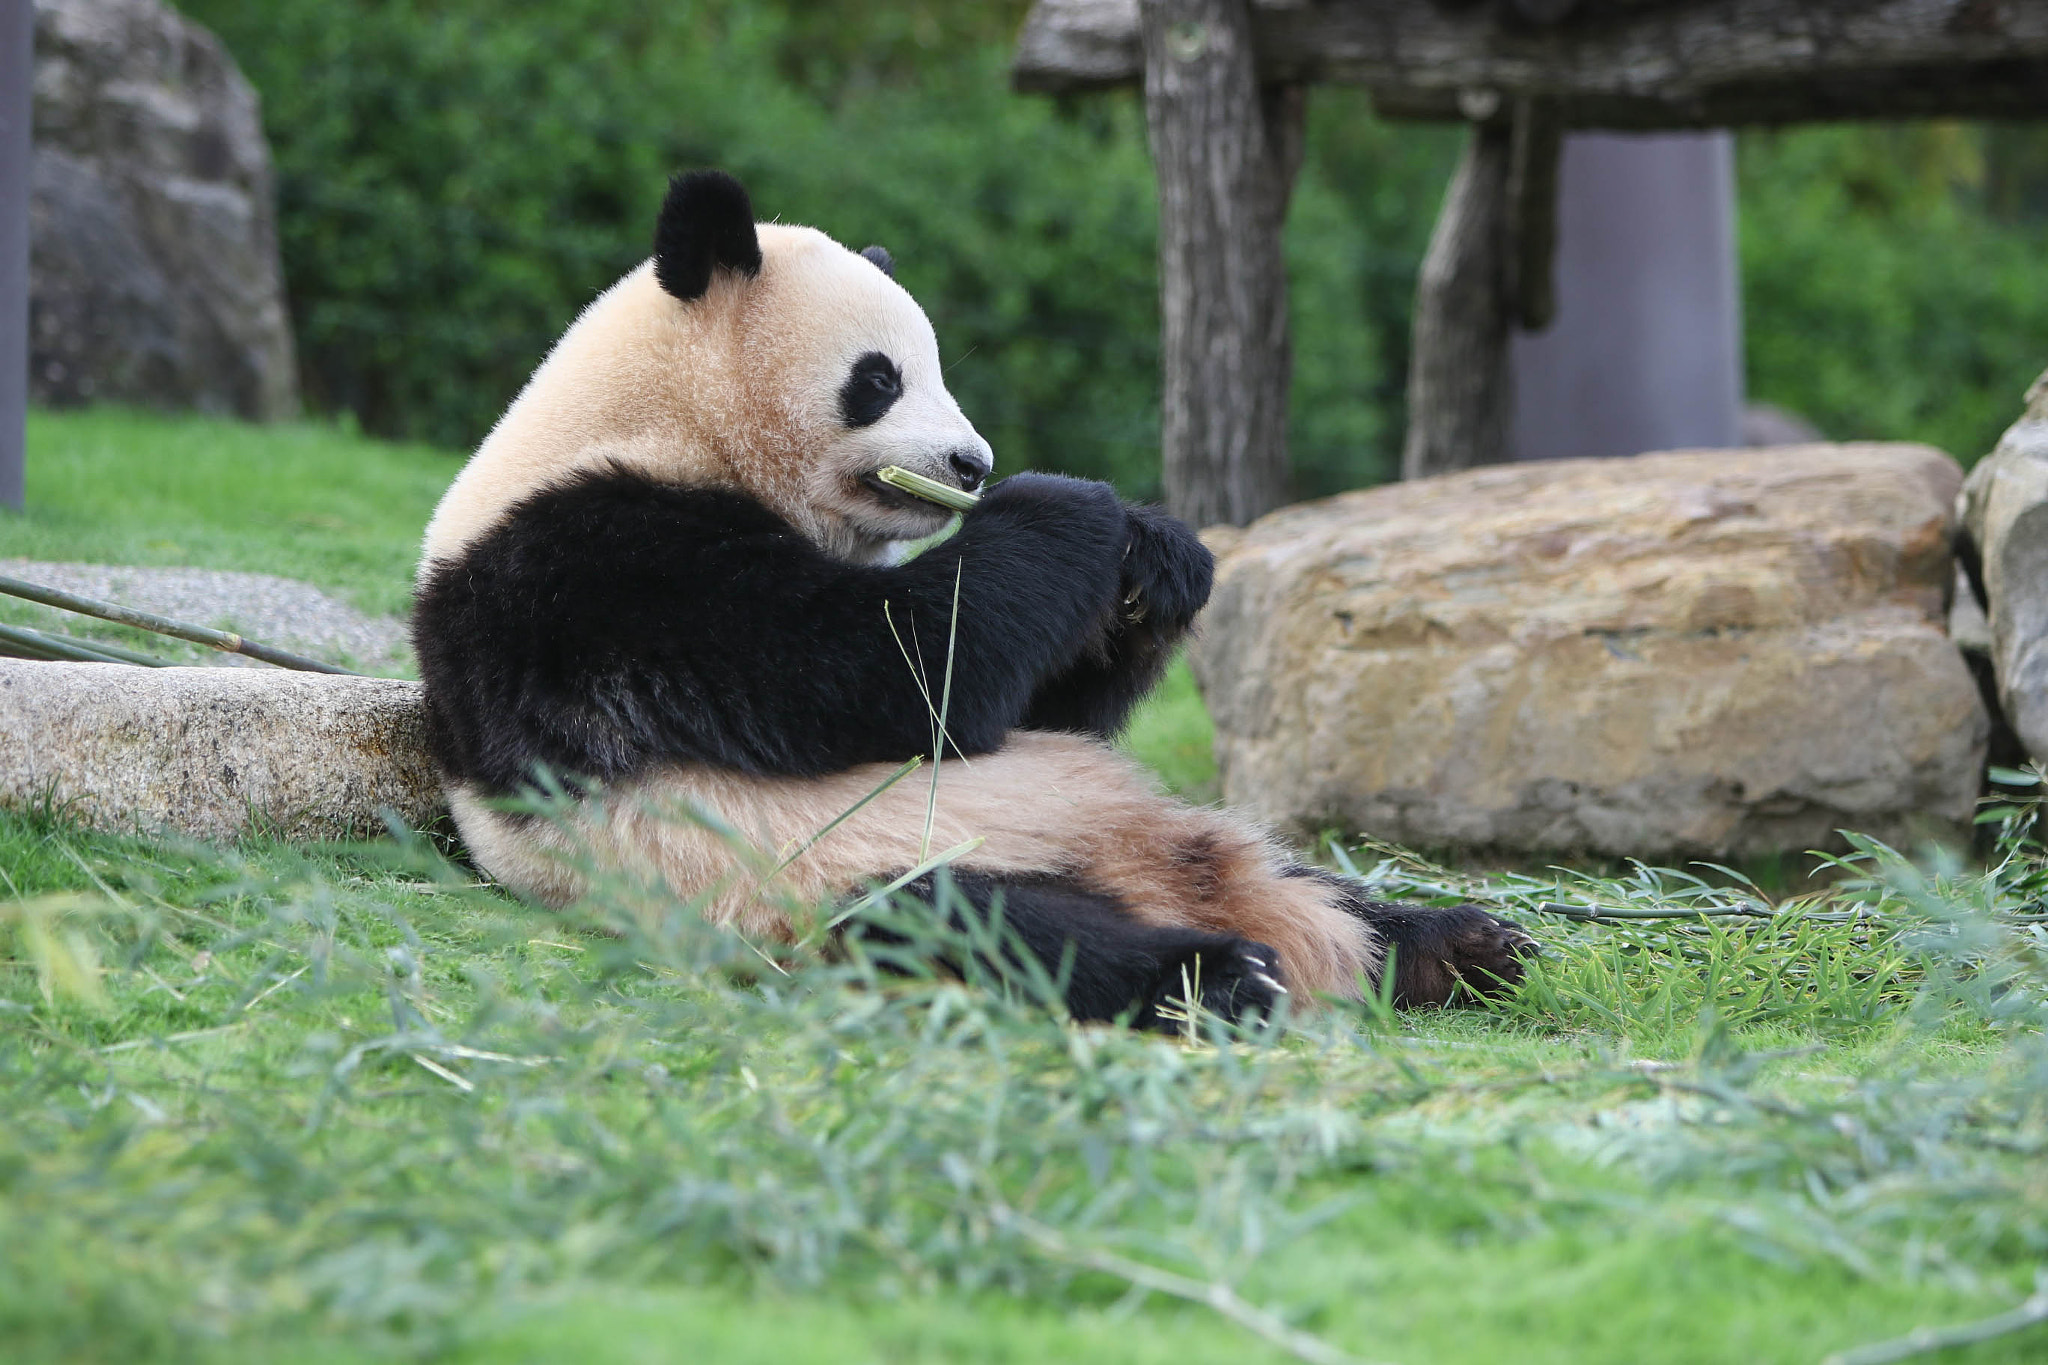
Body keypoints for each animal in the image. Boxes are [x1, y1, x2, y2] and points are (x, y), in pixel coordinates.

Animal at [413, 170, 1533, 1029]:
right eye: (879, 378)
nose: (971, 463)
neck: (653, 418)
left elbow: (1031, 709)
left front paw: (1158, 559)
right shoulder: (593, 566)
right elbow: (887, 672)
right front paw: (1071, 506)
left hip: (1170, 834)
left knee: (1300, 877)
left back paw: (1451, 942)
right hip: (800, 875)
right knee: (983, 925)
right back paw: (1216, 976)